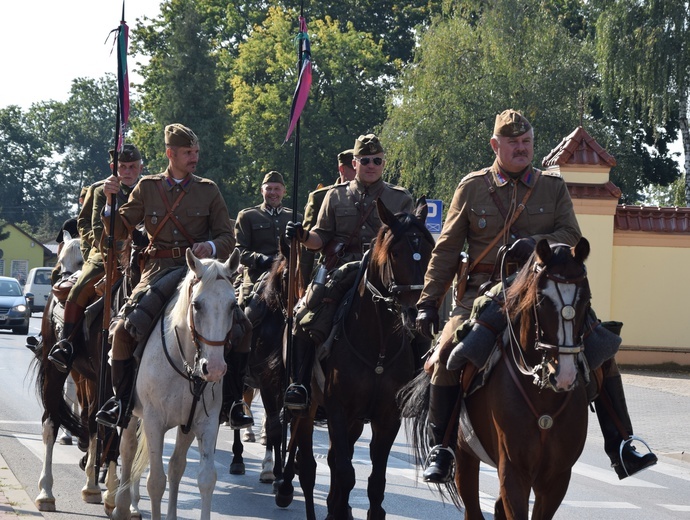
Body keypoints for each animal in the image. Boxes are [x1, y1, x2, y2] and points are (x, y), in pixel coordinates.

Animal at [111, 248, 242, 520]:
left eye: (233, 305)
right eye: (197, 304)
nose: (215, 368)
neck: (187, 364)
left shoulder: (203, 423)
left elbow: (204, 478)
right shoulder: (154, 421)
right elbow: (155, 481)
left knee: (175, 467)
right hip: (131, 414)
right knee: (127, 452)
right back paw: (122, 506)